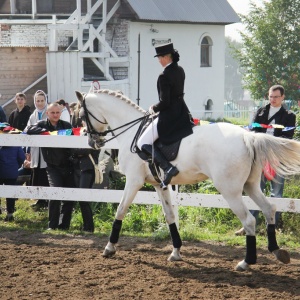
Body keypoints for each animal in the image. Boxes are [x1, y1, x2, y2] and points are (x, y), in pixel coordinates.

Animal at [76, 89, 300, 272]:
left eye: (81, 116)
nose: (92, 142)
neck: (132, 131)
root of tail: (248, 136)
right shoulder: (159, 185)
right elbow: (170, 216)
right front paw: (176, 252)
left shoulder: (133, 181)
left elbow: (120, 211)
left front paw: (109, 248)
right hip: (250, 185)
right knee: (269, 209)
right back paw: (277, 251)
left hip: (230, 190)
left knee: (249, 220)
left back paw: (246, 262)